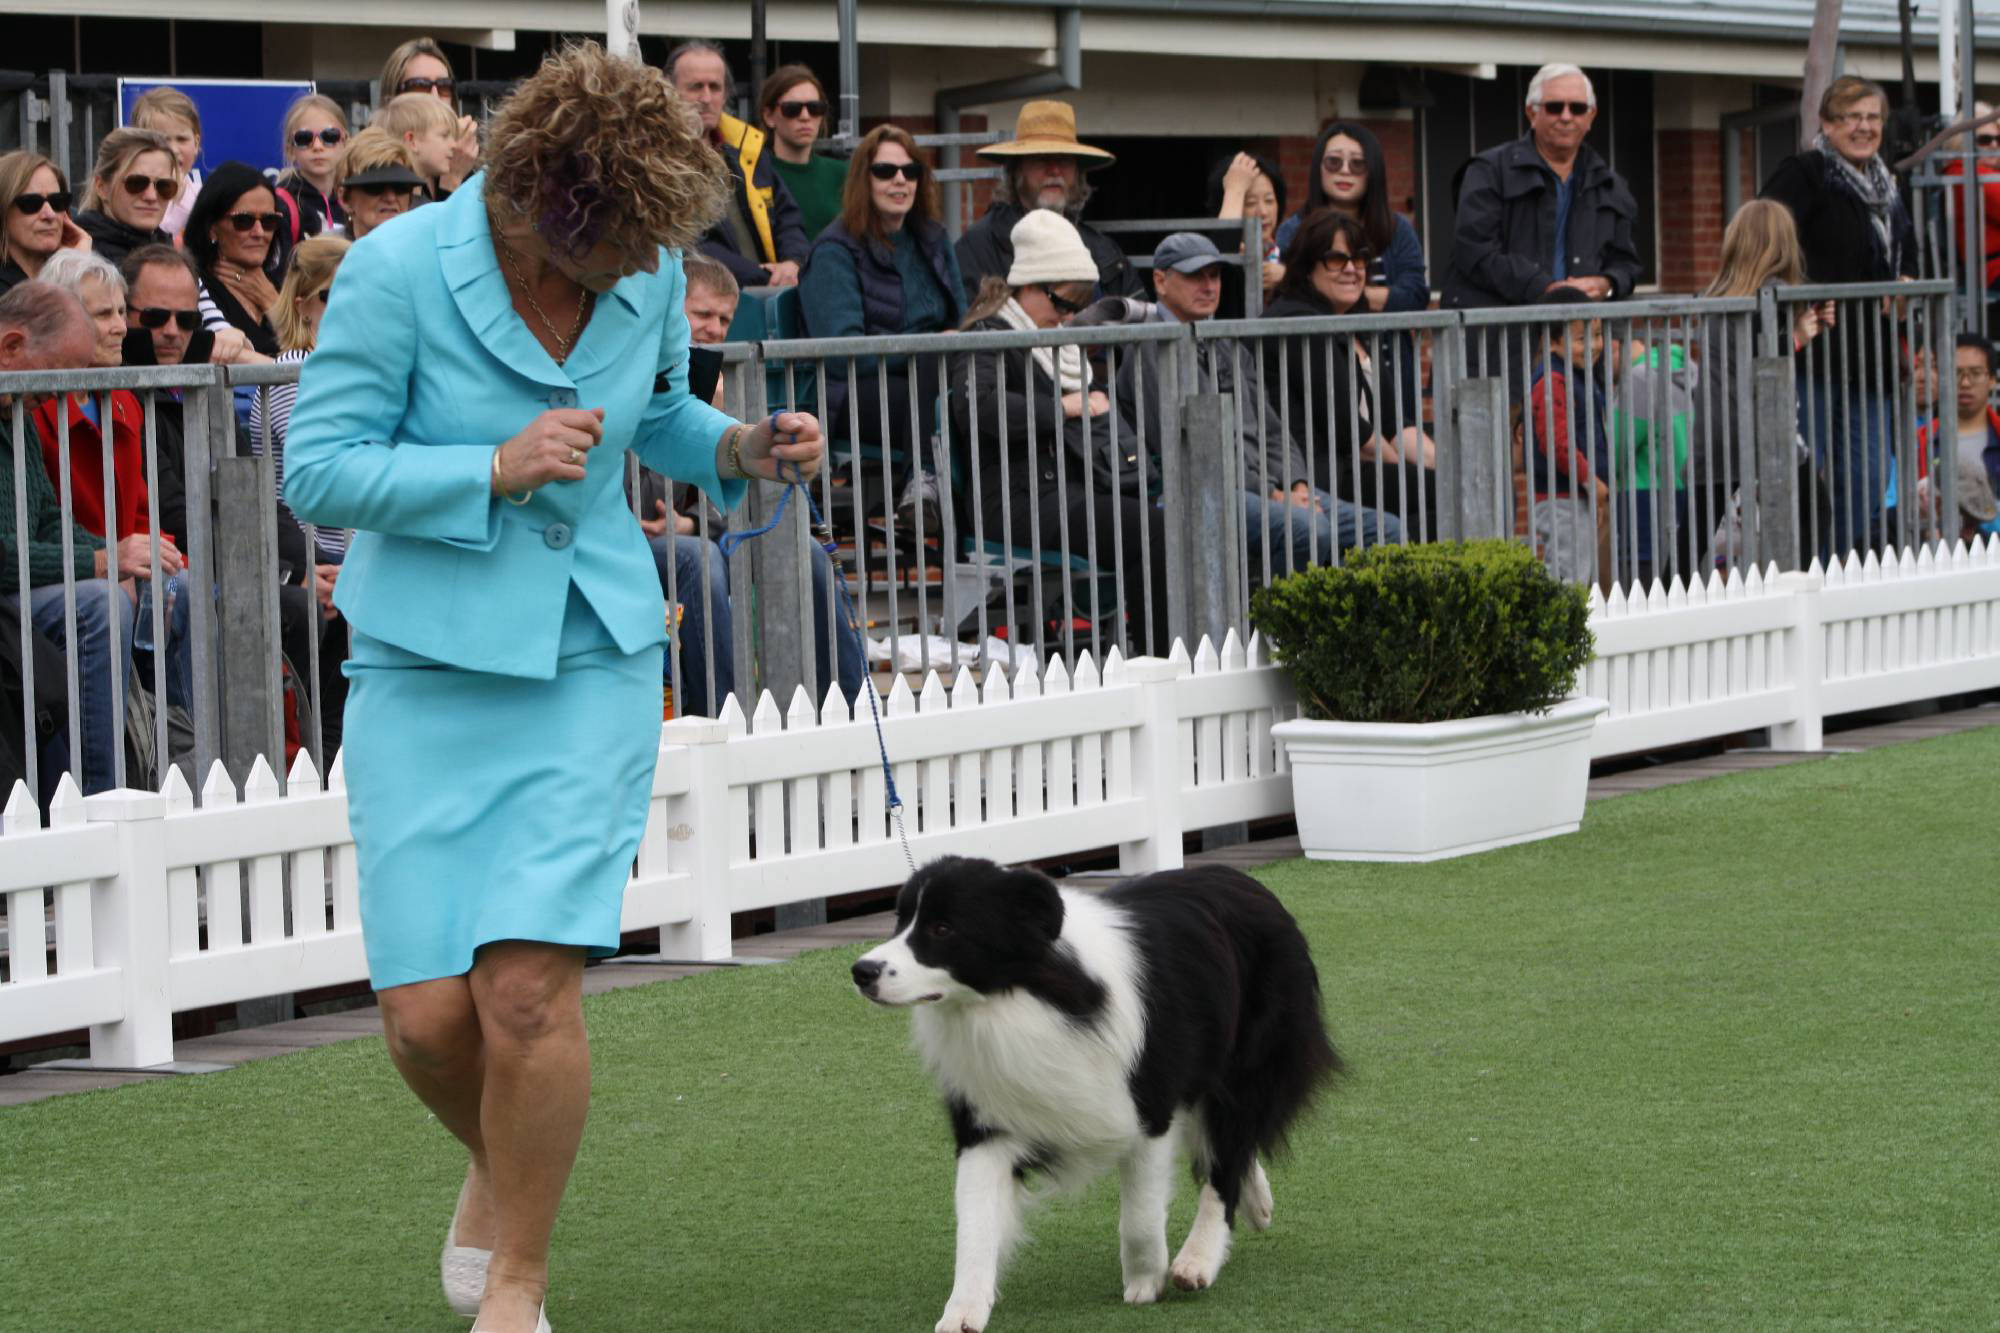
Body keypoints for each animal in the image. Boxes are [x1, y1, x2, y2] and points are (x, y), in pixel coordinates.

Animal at [851, 856, 1340, 1333]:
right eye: (899, 920)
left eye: (943, 928)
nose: (861, 972)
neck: (1025, 996)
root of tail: (1247, 883)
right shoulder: (987, 1121)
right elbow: (974, 1221)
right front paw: (962, 1312)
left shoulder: (1148, 1108)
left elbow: (1140, 1216)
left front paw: (1146, 1280)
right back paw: (1257, 1204)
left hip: (1249, 1060)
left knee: (1228, 1152)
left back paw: (1197, 1261)